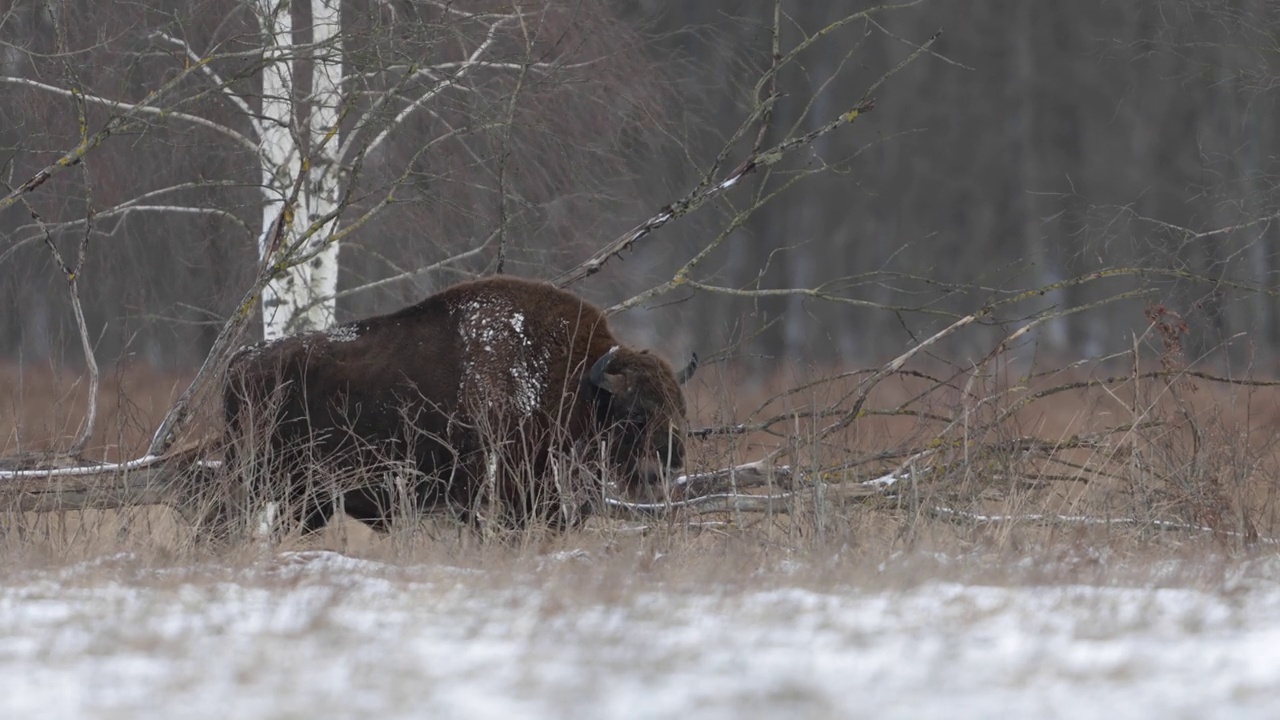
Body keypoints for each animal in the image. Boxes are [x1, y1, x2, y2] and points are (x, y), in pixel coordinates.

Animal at [221, 274, 701, 532]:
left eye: (680, 410)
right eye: (634, 414)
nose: (666, 469)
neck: (573, 375)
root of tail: (241, 361)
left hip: (307, 499)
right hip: (263, 483)